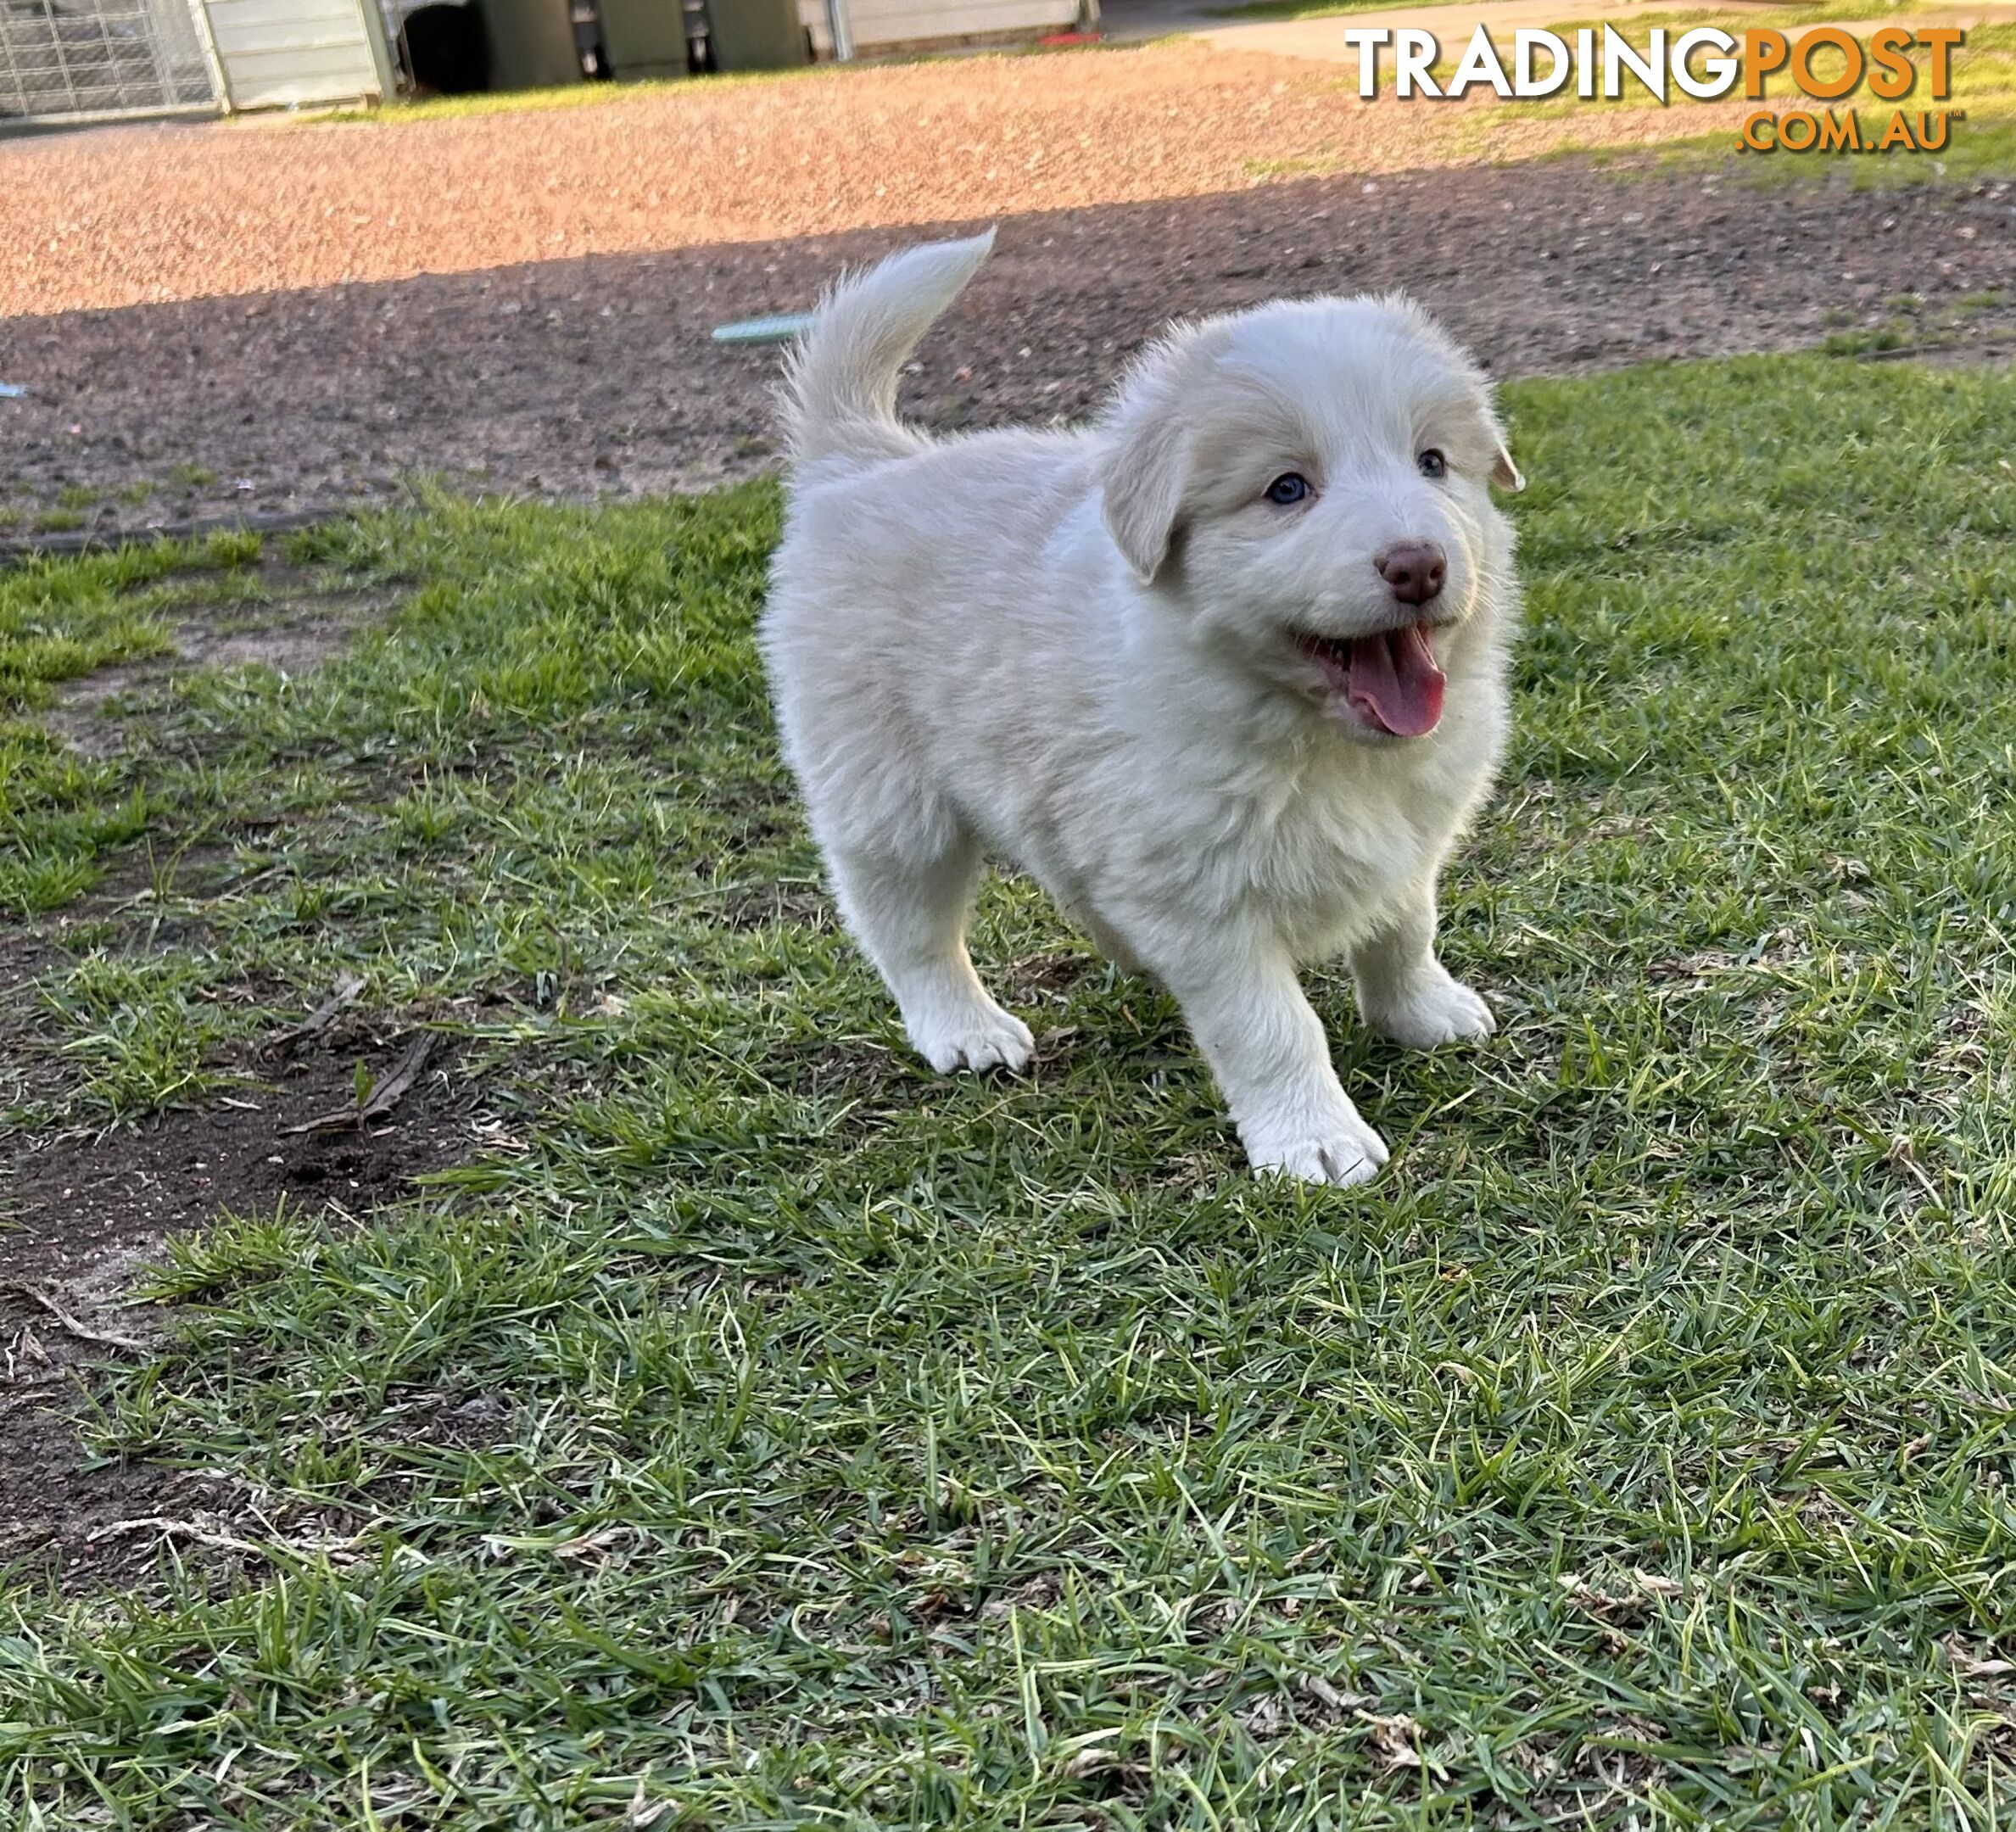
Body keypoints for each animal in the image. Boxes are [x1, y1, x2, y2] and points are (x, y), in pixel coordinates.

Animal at [762, 232, 1516, 1185]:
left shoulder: (1408, 834)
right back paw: (964, 1029)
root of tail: (866, 458)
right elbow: (1271, 1025)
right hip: (885, 795)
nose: (1418, 564)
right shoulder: (1204, 898)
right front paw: (1313, 1141)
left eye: (1432, 463)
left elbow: (1405, 926)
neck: (1308, 734)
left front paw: (1422, 1013)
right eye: (1286, 490)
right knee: (908, 929)